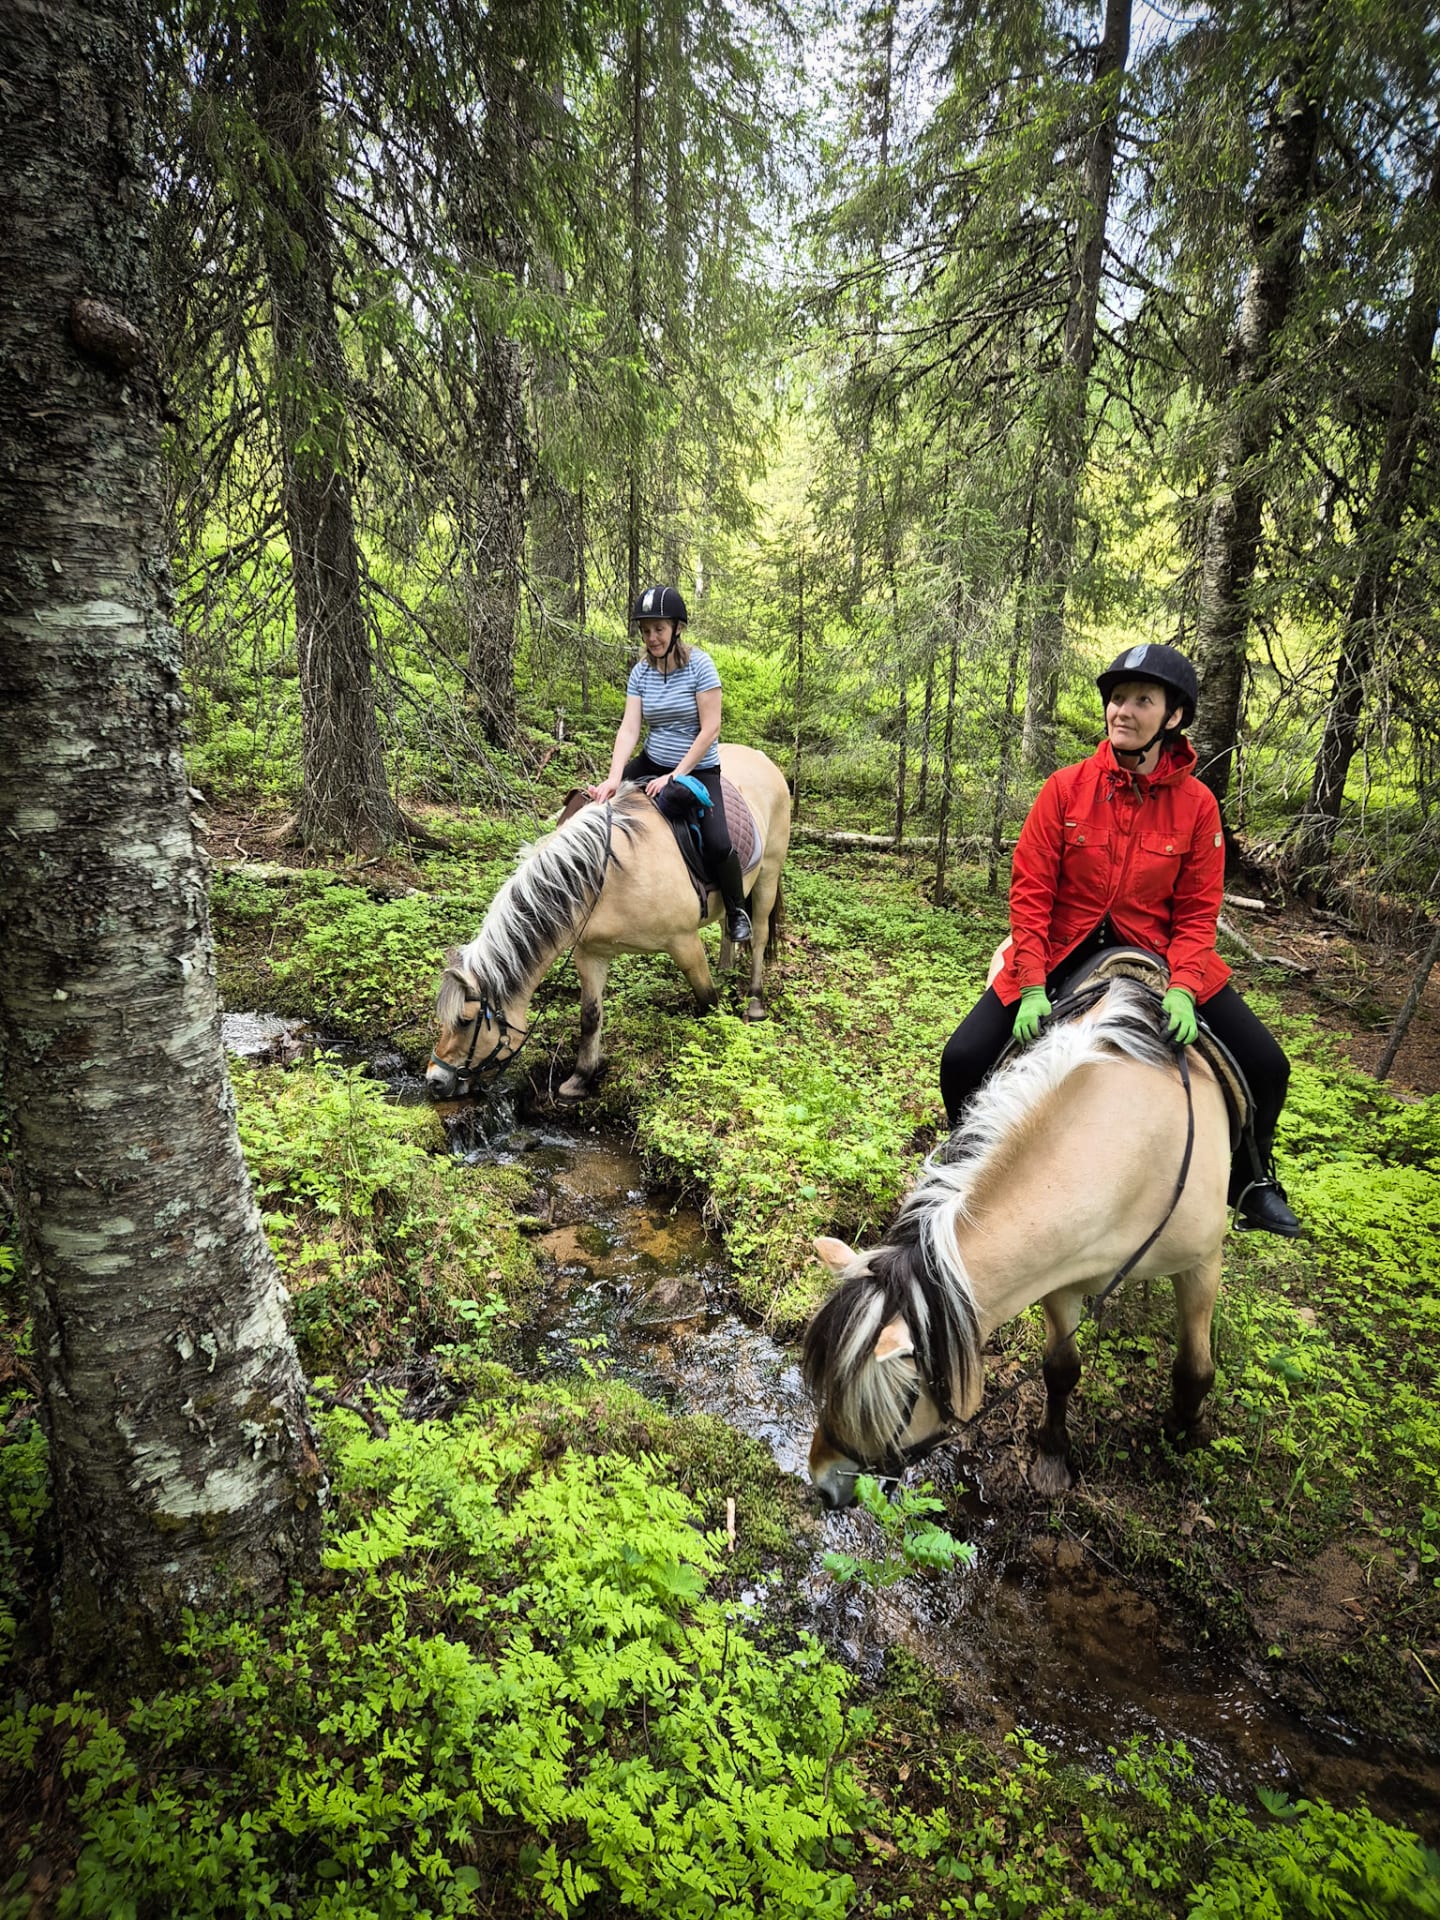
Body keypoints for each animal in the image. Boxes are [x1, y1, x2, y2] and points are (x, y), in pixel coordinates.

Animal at [426, 743, 791, 1103]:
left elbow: (707, 999)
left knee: (758, 936)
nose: (435, 1080)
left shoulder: (684, 942)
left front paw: (715, 1042)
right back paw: (727, 969)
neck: (605, 875)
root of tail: (761, 758)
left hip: (768, 873)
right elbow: (590, 1016)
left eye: (464, 1021)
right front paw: (579, 1079)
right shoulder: (590, 953)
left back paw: (755, 1002)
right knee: (729, 925)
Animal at [801, 976, 1231, 1509]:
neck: (1135, 1155)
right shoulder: (1060, 1274)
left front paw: (1185, 1434)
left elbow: (1194, 1368)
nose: (822, 1484)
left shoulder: (1202, 1262)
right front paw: (1052, 1456)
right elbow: (1061, 1368)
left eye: (884, 1406)